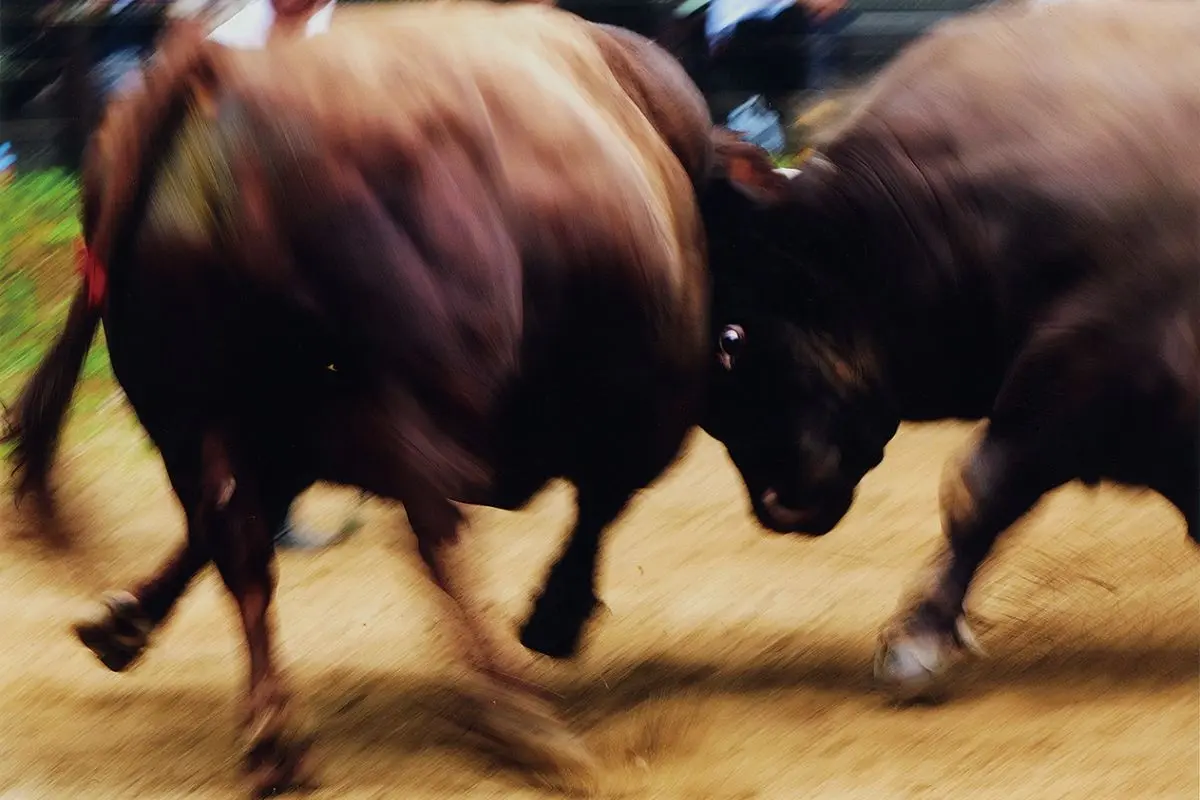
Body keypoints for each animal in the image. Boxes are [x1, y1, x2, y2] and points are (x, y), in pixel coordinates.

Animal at [3, 3, 714, 793]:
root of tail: (224, 81)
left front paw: (121, 620)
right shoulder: (647, 405)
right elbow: (598, 504)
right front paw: (554, 618)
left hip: (195, 414)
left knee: (239, 539)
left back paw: (275, 737)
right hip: (409, 401)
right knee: (433, 536)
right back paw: (521, 718)